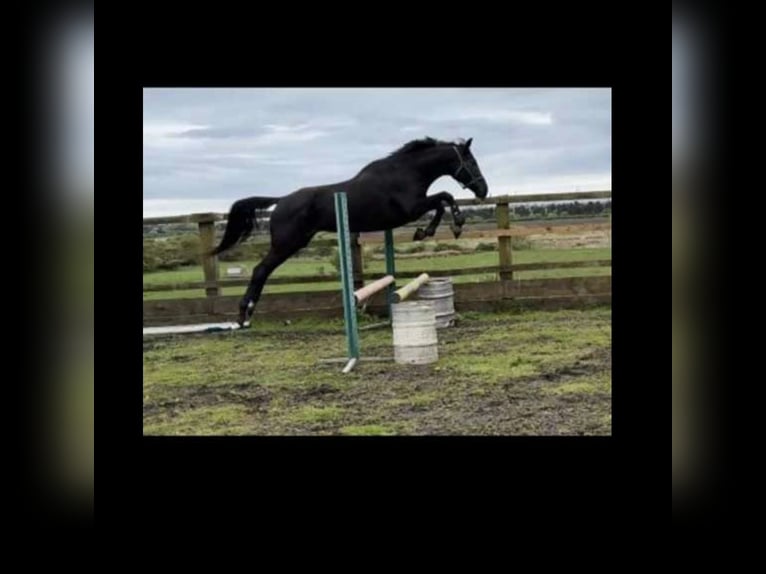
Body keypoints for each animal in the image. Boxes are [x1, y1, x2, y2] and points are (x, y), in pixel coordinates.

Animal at [211, 137, 489, 326]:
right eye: (472, 162)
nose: (483, 190)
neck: (406, 173)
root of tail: (280, 202)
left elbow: (442, 200)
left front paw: (427, 231)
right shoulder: (411, 209)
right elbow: (444, 198)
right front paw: (449, 226)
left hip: (294, 243)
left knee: (262, 271)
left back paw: (246, 315)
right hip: (286, 244)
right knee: (260, 270)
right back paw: (244, 313)